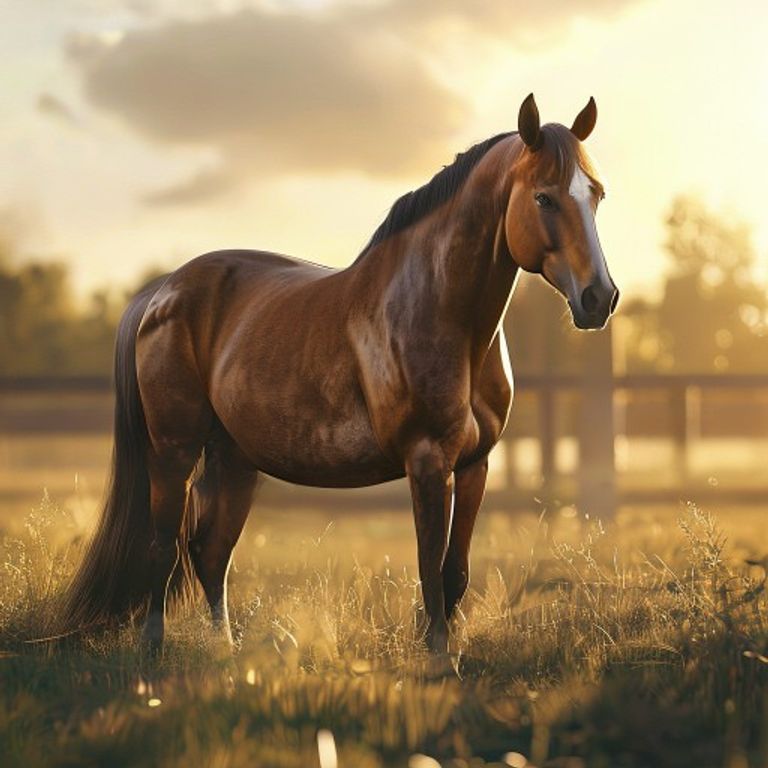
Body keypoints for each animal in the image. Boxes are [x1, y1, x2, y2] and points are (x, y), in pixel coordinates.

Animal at [59, 94, 618, 655]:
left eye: (596, 194)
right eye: (544, 198)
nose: (599, 298)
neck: (441, 312)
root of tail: (162, 291)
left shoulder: (474, 465)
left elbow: (454, 573)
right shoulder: (428, 461)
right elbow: (430, 574)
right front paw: (437, 659)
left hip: (234, 458)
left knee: (210, 551)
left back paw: (226, 651)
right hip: (173, 451)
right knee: (163, 547)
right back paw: (153, 649)